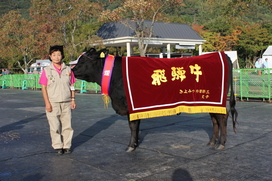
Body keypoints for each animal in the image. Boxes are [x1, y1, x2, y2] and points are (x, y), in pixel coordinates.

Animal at [72, 47, 238, 151]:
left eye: (83, 61)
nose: (72, 69)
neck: (115, 74)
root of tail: (223, 55)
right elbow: (137, 125)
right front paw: (136, 143)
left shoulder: (129, 104)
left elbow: (132, 126)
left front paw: (130, 146)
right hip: (210, 101)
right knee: (214, 119)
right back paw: (211, 142)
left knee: (222, 118)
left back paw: (221, 144)